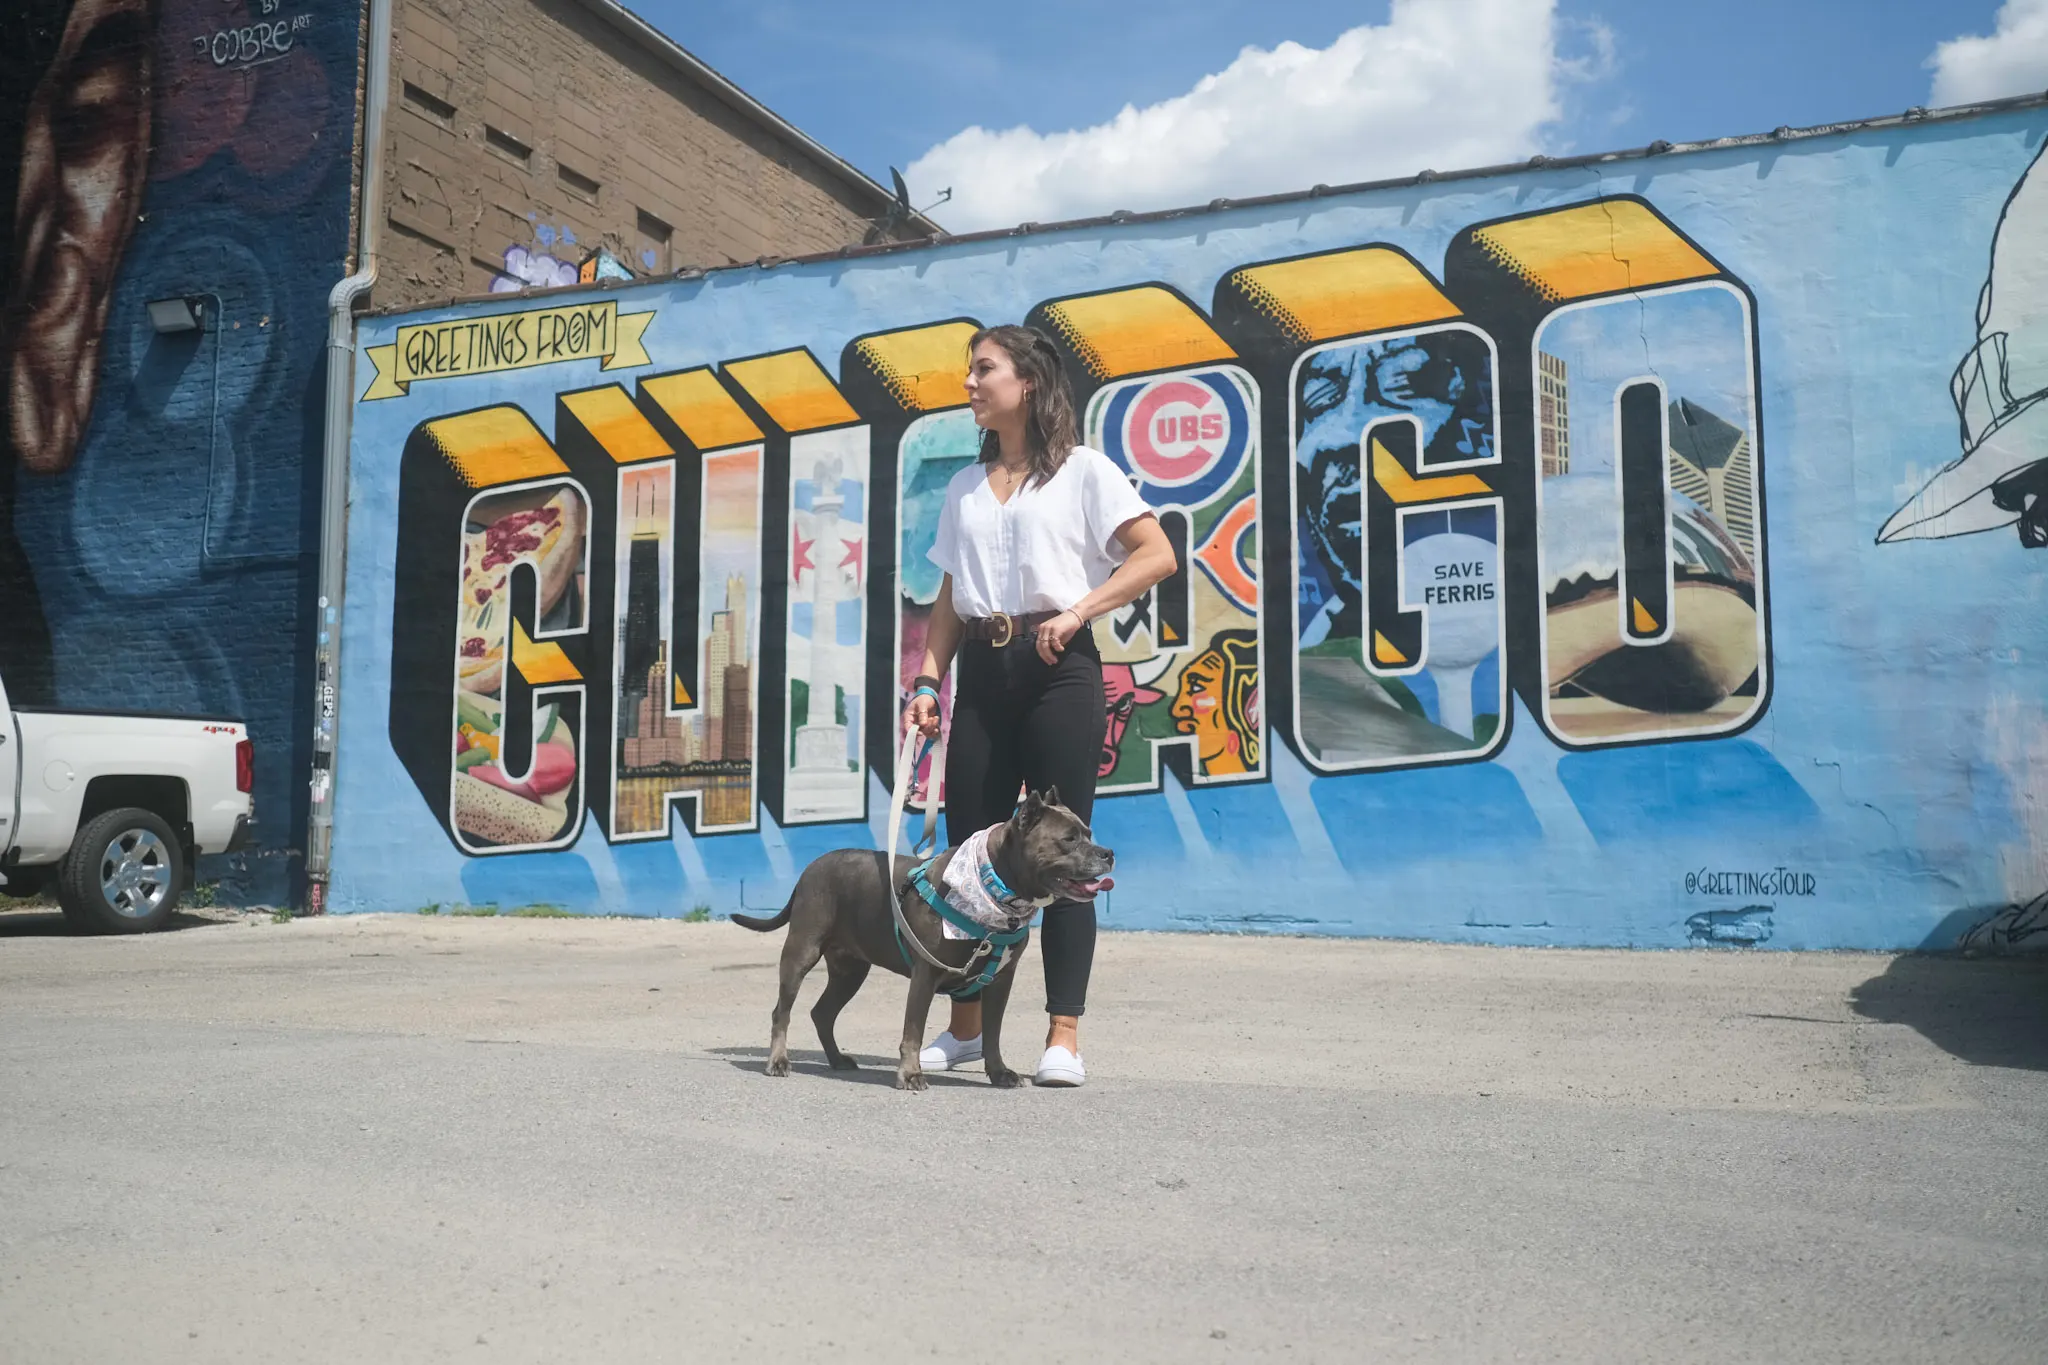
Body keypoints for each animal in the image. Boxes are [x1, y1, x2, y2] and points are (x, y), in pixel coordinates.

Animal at [737, 789, 1114, 1088]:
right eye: (1069, 839)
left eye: (1089, 832)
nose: (1108, 852)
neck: (996, 887)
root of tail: (810, 868)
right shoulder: (925, 975)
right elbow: (913, 1030)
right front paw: (910, 1074)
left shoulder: (1001, 980)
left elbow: (992, 1033)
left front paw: (999, 1072)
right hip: (802, 952)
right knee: (782, 1012)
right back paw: (778, 1062)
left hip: (850, 971)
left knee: (822, 1013)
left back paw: (837, 1059)